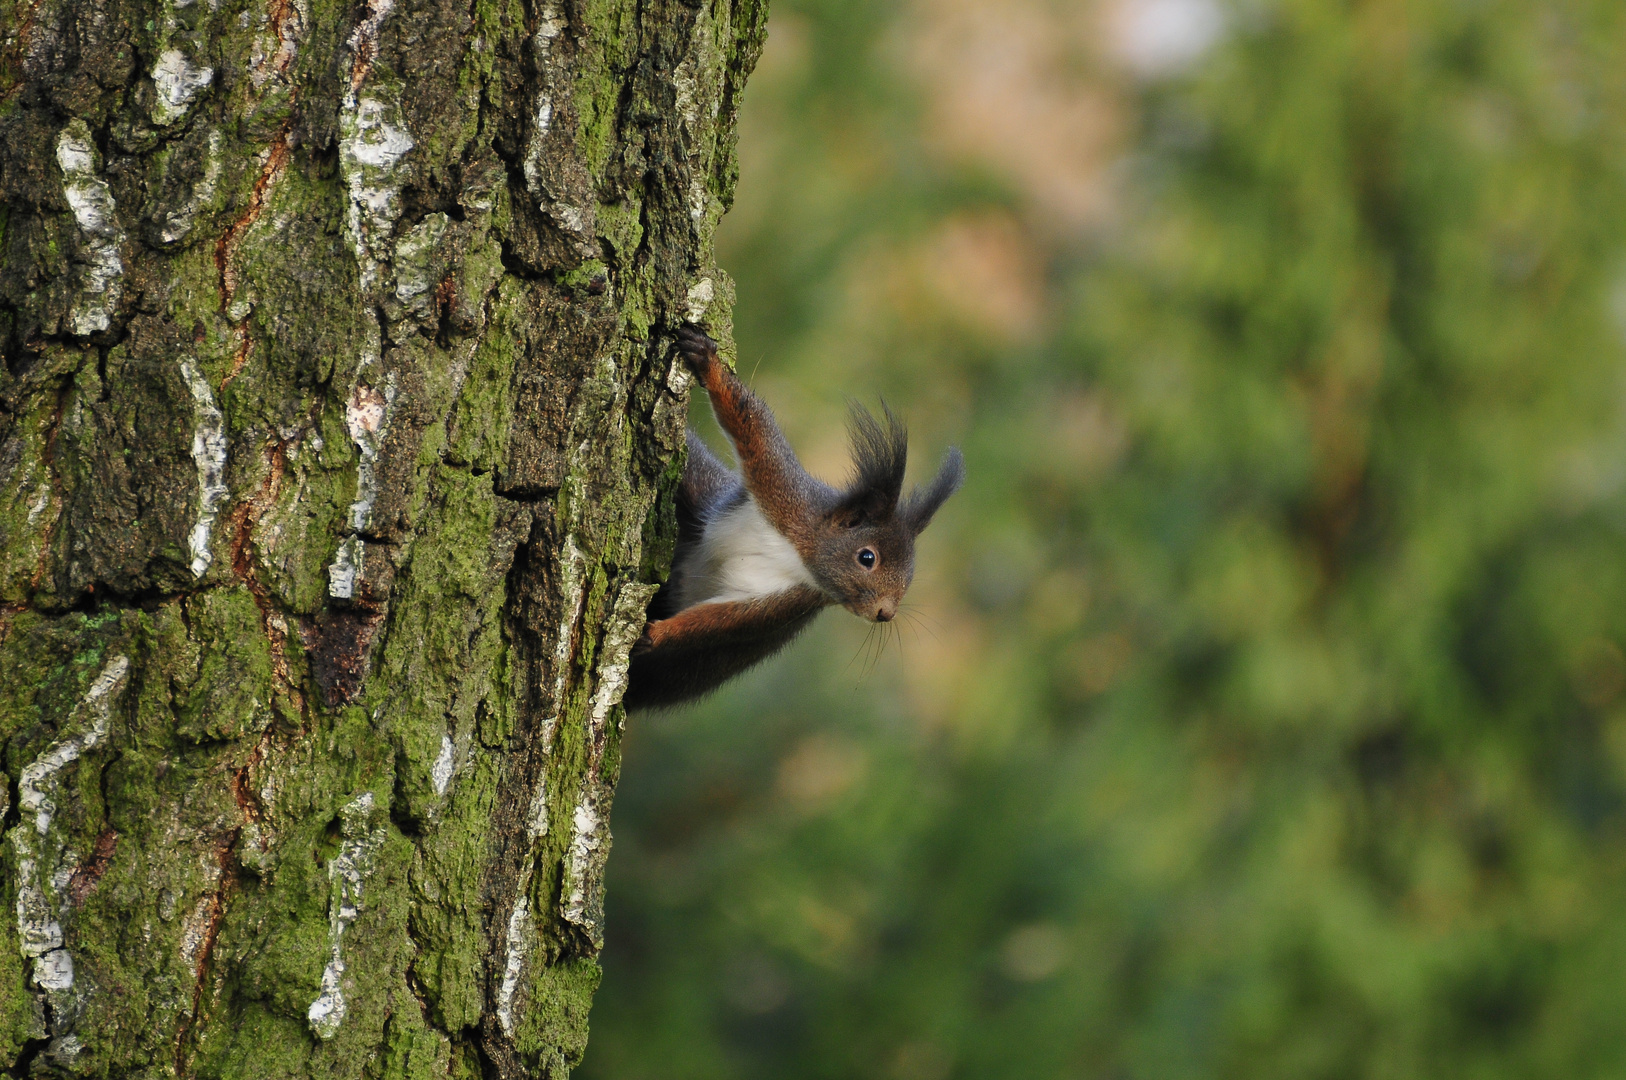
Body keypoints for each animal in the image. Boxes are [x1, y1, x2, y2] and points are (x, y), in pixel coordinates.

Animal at [614, 322, 956, 709]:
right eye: (867, 557)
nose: (886, 614)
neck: (797, 553)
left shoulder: (787, 601)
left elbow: (719, 623)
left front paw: (654, 634)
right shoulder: (781, 489)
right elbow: (753, 424)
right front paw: (708, 362)